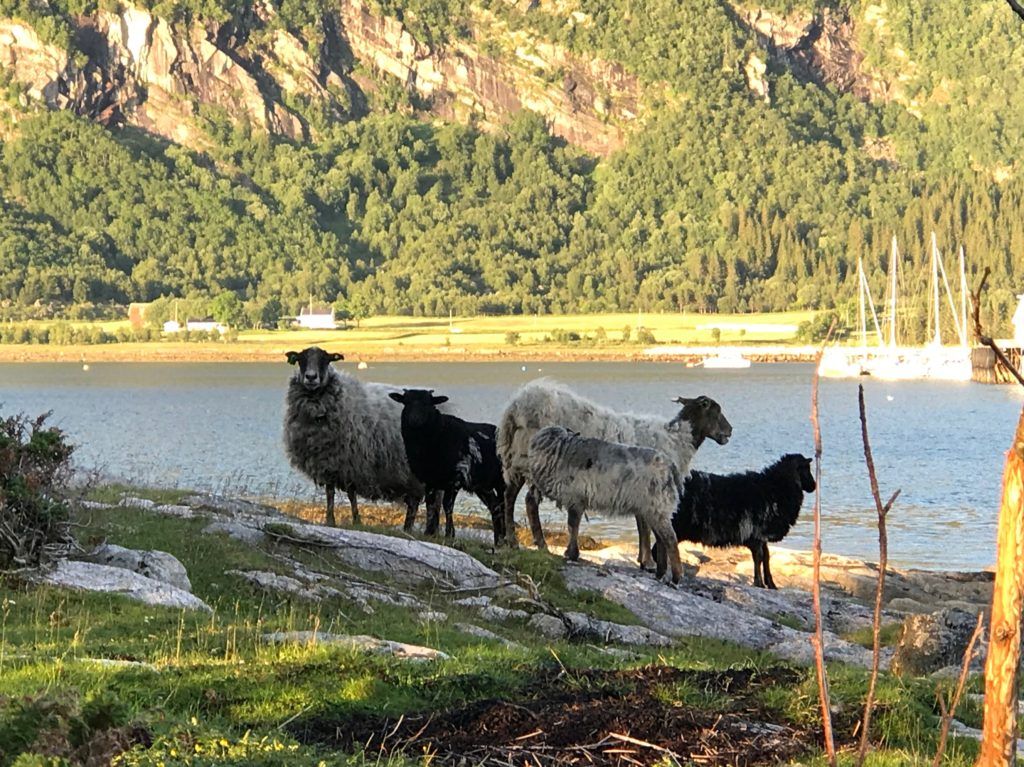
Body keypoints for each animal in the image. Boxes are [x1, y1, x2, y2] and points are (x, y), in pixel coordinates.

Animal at [284, 346, 436, 528]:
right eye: (301, 358)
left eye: (325, 359)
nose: (311, 377)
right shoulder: (330, 463)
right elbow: (331, 493)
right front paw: (332, 520)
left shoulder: (350, 461)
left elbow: (350, 494)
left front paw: (355, 520)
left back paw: (417, 529)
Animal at [387, 389, 507, 544]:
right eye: (406, 402)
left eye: (428, 403)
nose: (414, 419)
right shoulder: (430, 480)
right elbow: (431, 505)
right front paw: (430, 533)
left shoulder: (455, 478)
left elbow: (447, 505)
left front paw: (450, 534)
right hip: (483, 486)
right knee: (495, 507)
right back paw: (499, 541)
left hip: (502, 481)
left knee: (504, 507)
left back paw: (508, 541)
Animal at [528, 428, 688, 581]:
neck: (562, 450)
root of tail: (670, 466)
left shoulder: (576, 499)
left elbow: (572, 526)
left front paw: (571, 553)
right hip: (652, 509)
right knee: (661, 540)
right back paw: (660, 573)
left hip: (656, 507)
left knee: (670, 539)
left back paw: (676, 577)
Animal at [663, 452, 815, 589]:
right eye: (806, 468)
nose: (814, 486)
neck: (774, 489)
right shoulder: (756, 535)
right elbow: (759, 557)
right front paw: (759, 583)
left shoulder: (761, 535)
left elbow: (766, 557)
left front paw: (771, 584)